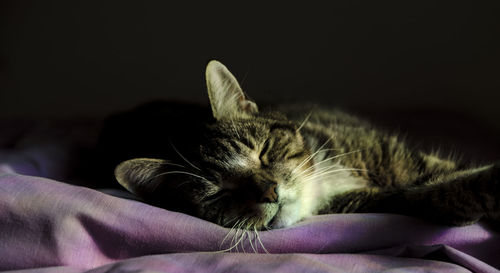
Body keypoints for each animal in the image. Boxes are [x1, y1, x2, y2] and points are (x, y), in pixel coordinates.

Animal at [102, 60, 500, 230]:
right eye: (219, 194)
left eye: (263, 152)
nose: (270, 192)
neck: (324, 181)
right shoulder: (389, 200)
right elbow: (445, 194)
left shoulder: (404, 158)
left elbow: (446, 172)